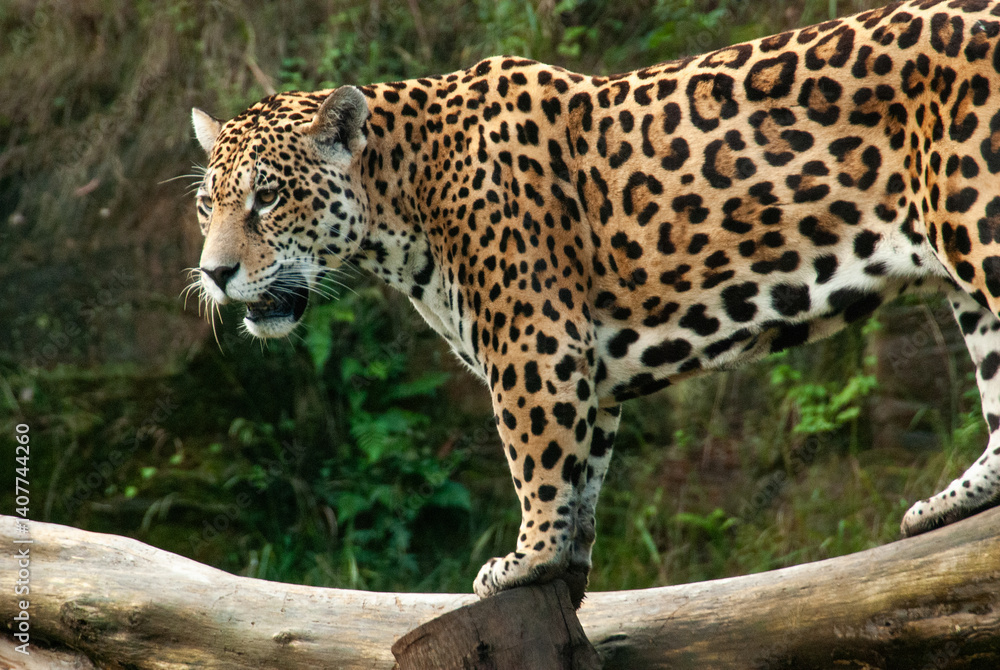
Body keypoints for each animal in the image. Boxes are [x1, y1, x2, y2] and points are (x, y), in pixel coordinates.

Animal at [191, 0, 1000, 606]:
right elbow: (585, 465)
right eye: (208, 204)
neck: (405, 197)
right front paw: (568, 565)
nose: (214, 273)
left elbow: (536, 456)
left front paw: (525, 560)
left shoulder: (532, 341)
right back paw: (951, 502)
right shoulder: (582, 361)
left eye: (269, 198)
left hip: (980, 227)